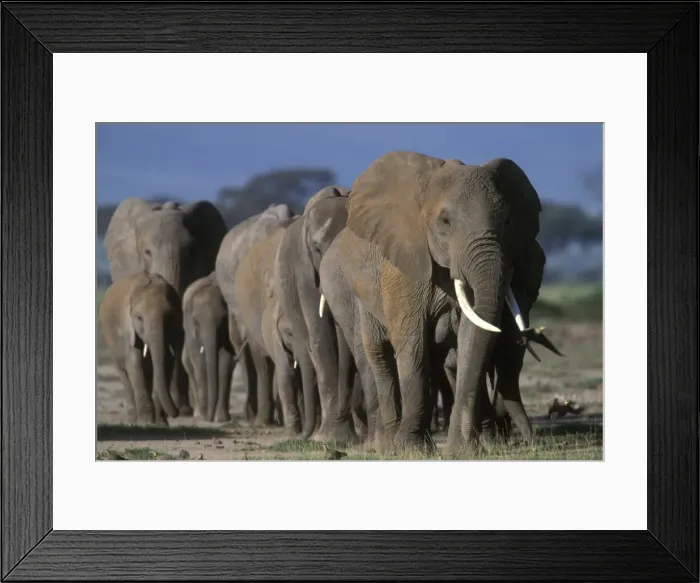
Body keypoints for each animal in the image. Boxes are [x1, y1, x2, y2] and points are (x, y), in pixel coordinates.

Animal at [98, 273, 184, 425]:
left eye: (169, 317)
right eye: (139, 318)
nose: (176, 413)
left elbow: (165, 362)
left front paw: (160, 424)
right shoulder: (127, 326)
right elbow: (134, 363)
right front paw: (146, 423)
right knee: (123, 373)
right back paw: (133, 421)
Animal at [181, 272, 235, 423]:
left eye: (223, 320)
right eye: (196, 322)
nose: (209, 419)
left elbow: (225, 361)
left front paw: (221, 419)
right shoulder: (190, 329)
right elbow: (199, 362)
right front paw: (205, 416)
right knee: (189, 363)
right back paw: (198, 414)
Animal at [338, 151, 559, 453]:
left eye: (507, 222)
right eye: (445, 222)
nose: (531, 443)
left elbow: (470, 337)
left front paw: (463, 449)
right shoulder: (403, 267)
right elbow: (412, 343)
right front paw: (411, 449)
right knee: (380, 356)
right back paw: (389, 444)